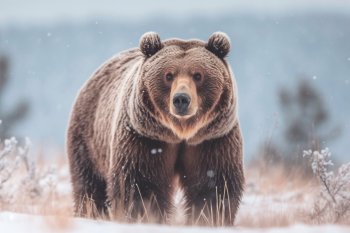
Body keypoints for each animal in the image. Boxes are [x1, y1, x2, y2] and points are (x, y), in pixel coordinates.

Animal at [67, 31, 245, 226]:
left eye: (198, 75)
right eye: (169, 75)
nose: (181, 99)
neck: (180, 133)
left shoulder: (211, 139)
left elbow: (212, 183)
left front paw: (209, 218)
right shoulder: (145, 138)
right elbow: (142, 183)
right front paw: (146, 216)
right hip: (89, 137)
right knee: (90, 183)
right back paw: (91, 213)